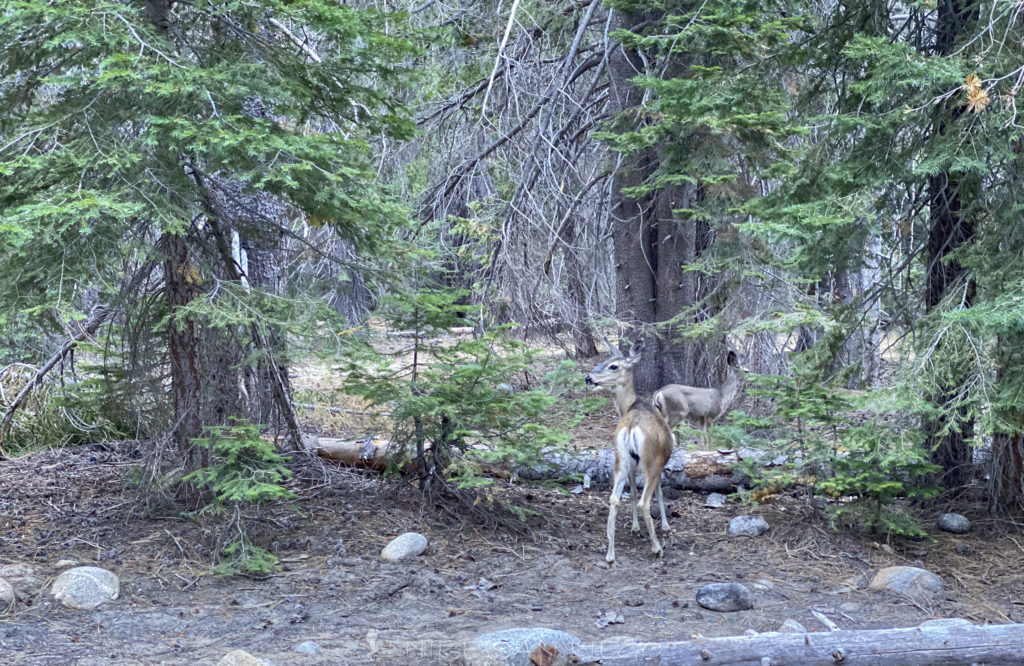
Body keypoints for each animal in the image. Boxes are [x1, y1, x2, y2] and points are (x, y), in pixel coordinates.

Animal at [589, 340, 675, 561]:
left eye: (613, 365)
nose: (589, 378)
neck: (629, 406)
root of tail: (630, 427)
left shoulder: (632, 464)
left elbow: (633, 490)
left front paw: (635, 528)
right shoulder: (660, 461)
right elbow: (659, 492)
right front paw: (665, 526)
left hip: (620, 458)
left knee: (614, 498)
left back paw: (610, 554)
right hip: (650, 460)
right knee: (644, 501)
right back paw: (657, 547)